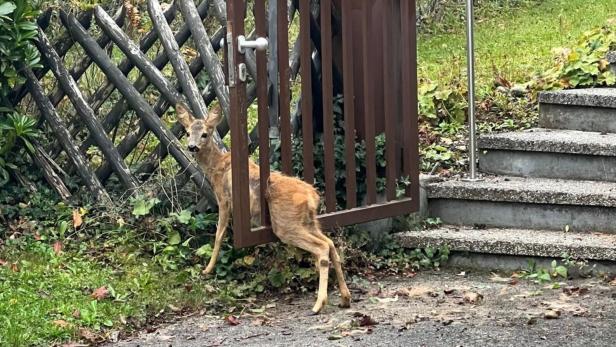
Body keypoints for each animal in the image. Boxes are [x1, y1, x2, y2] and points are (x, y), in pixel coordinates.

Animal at [177, 103, 352, 316]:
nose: (192, 147)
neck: (216, 166)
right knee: (331, 243)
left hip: (285, 224)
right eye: (187, 133)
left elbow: (219, 234)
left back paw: (318, 304)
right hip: (308, 222)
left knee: (322, 247)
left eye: (204, 134)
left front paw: (207, 269)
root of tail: (312, 197)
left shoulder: (224, 199)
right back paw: (345, 298)